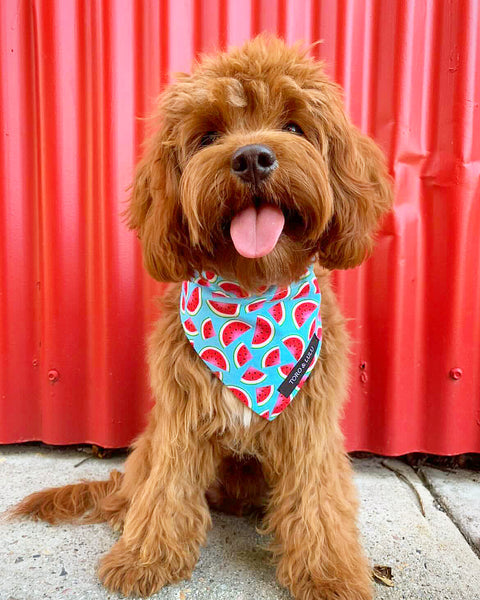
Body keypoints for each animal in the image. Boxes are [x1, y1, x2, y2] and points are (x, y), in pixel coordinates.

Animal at [11, 37, 392, 600]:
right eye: (209, 135)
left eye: (294, 127)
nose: (252, 158)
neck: (251, 297)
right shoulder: (180, 419)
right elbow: (167, 492)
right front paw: (144, 559)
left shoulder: (311, 426)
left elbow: (318, 500)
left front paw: (329, 574)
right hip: (146, 446)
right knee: (133, 491)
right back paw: (124, 514)